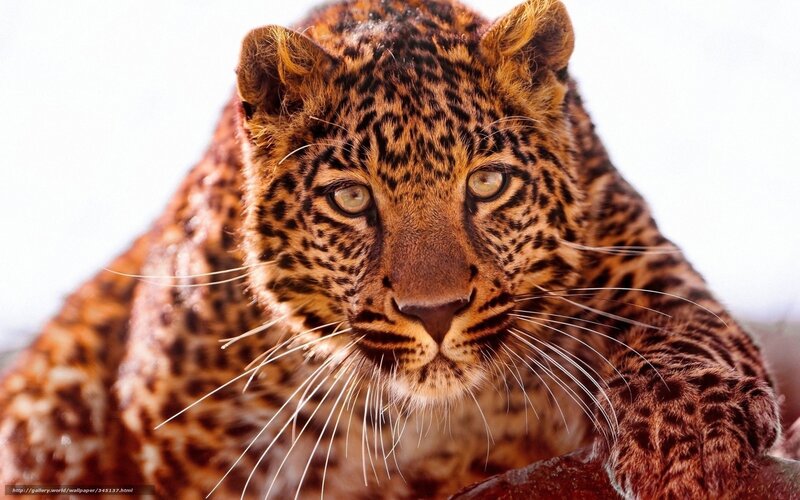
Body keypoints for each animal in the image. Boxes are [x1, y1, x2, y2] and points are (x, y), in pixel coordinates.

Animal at [0, 0, 794, 498]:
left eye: (488, 184)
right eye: (353, 199)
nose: (434, 313)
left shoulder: (619, 240)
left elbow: (677, 323)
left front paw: (690, 443)